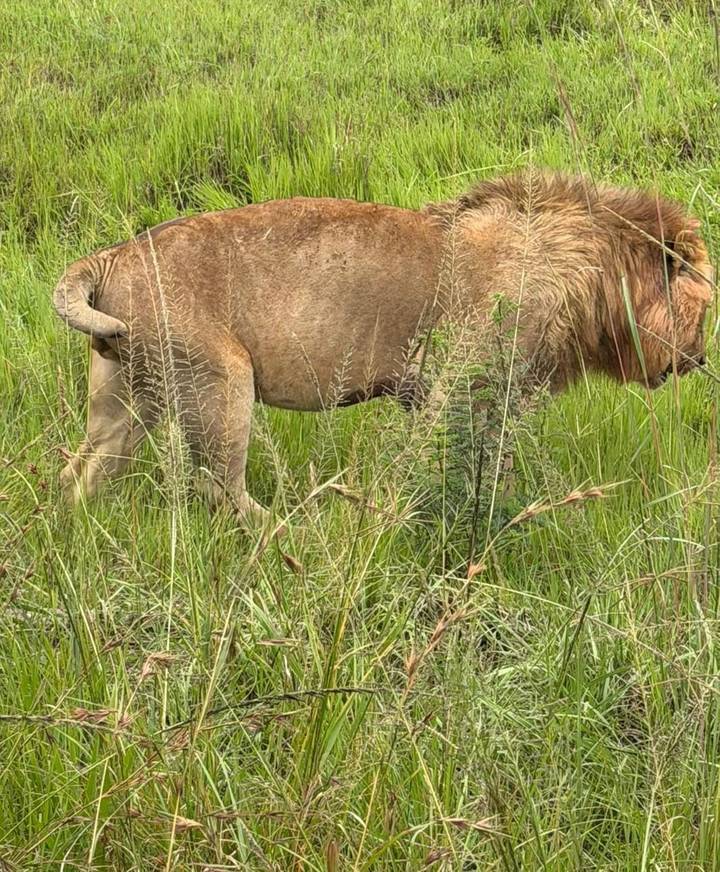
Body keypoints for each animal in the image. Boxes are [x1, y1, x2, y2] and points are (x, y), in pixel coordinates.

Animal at [53, 170, 713, 529]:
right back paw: (291, 532)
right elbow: (455, 468)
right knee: (220, 489)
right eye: (705, 311)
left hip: (128, 396)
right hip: (219, 383)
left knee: (80, 470)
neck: (593, 274)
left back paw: (74, 531)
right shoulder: (461, 384)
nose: (700, 358)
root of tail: (113, 254)